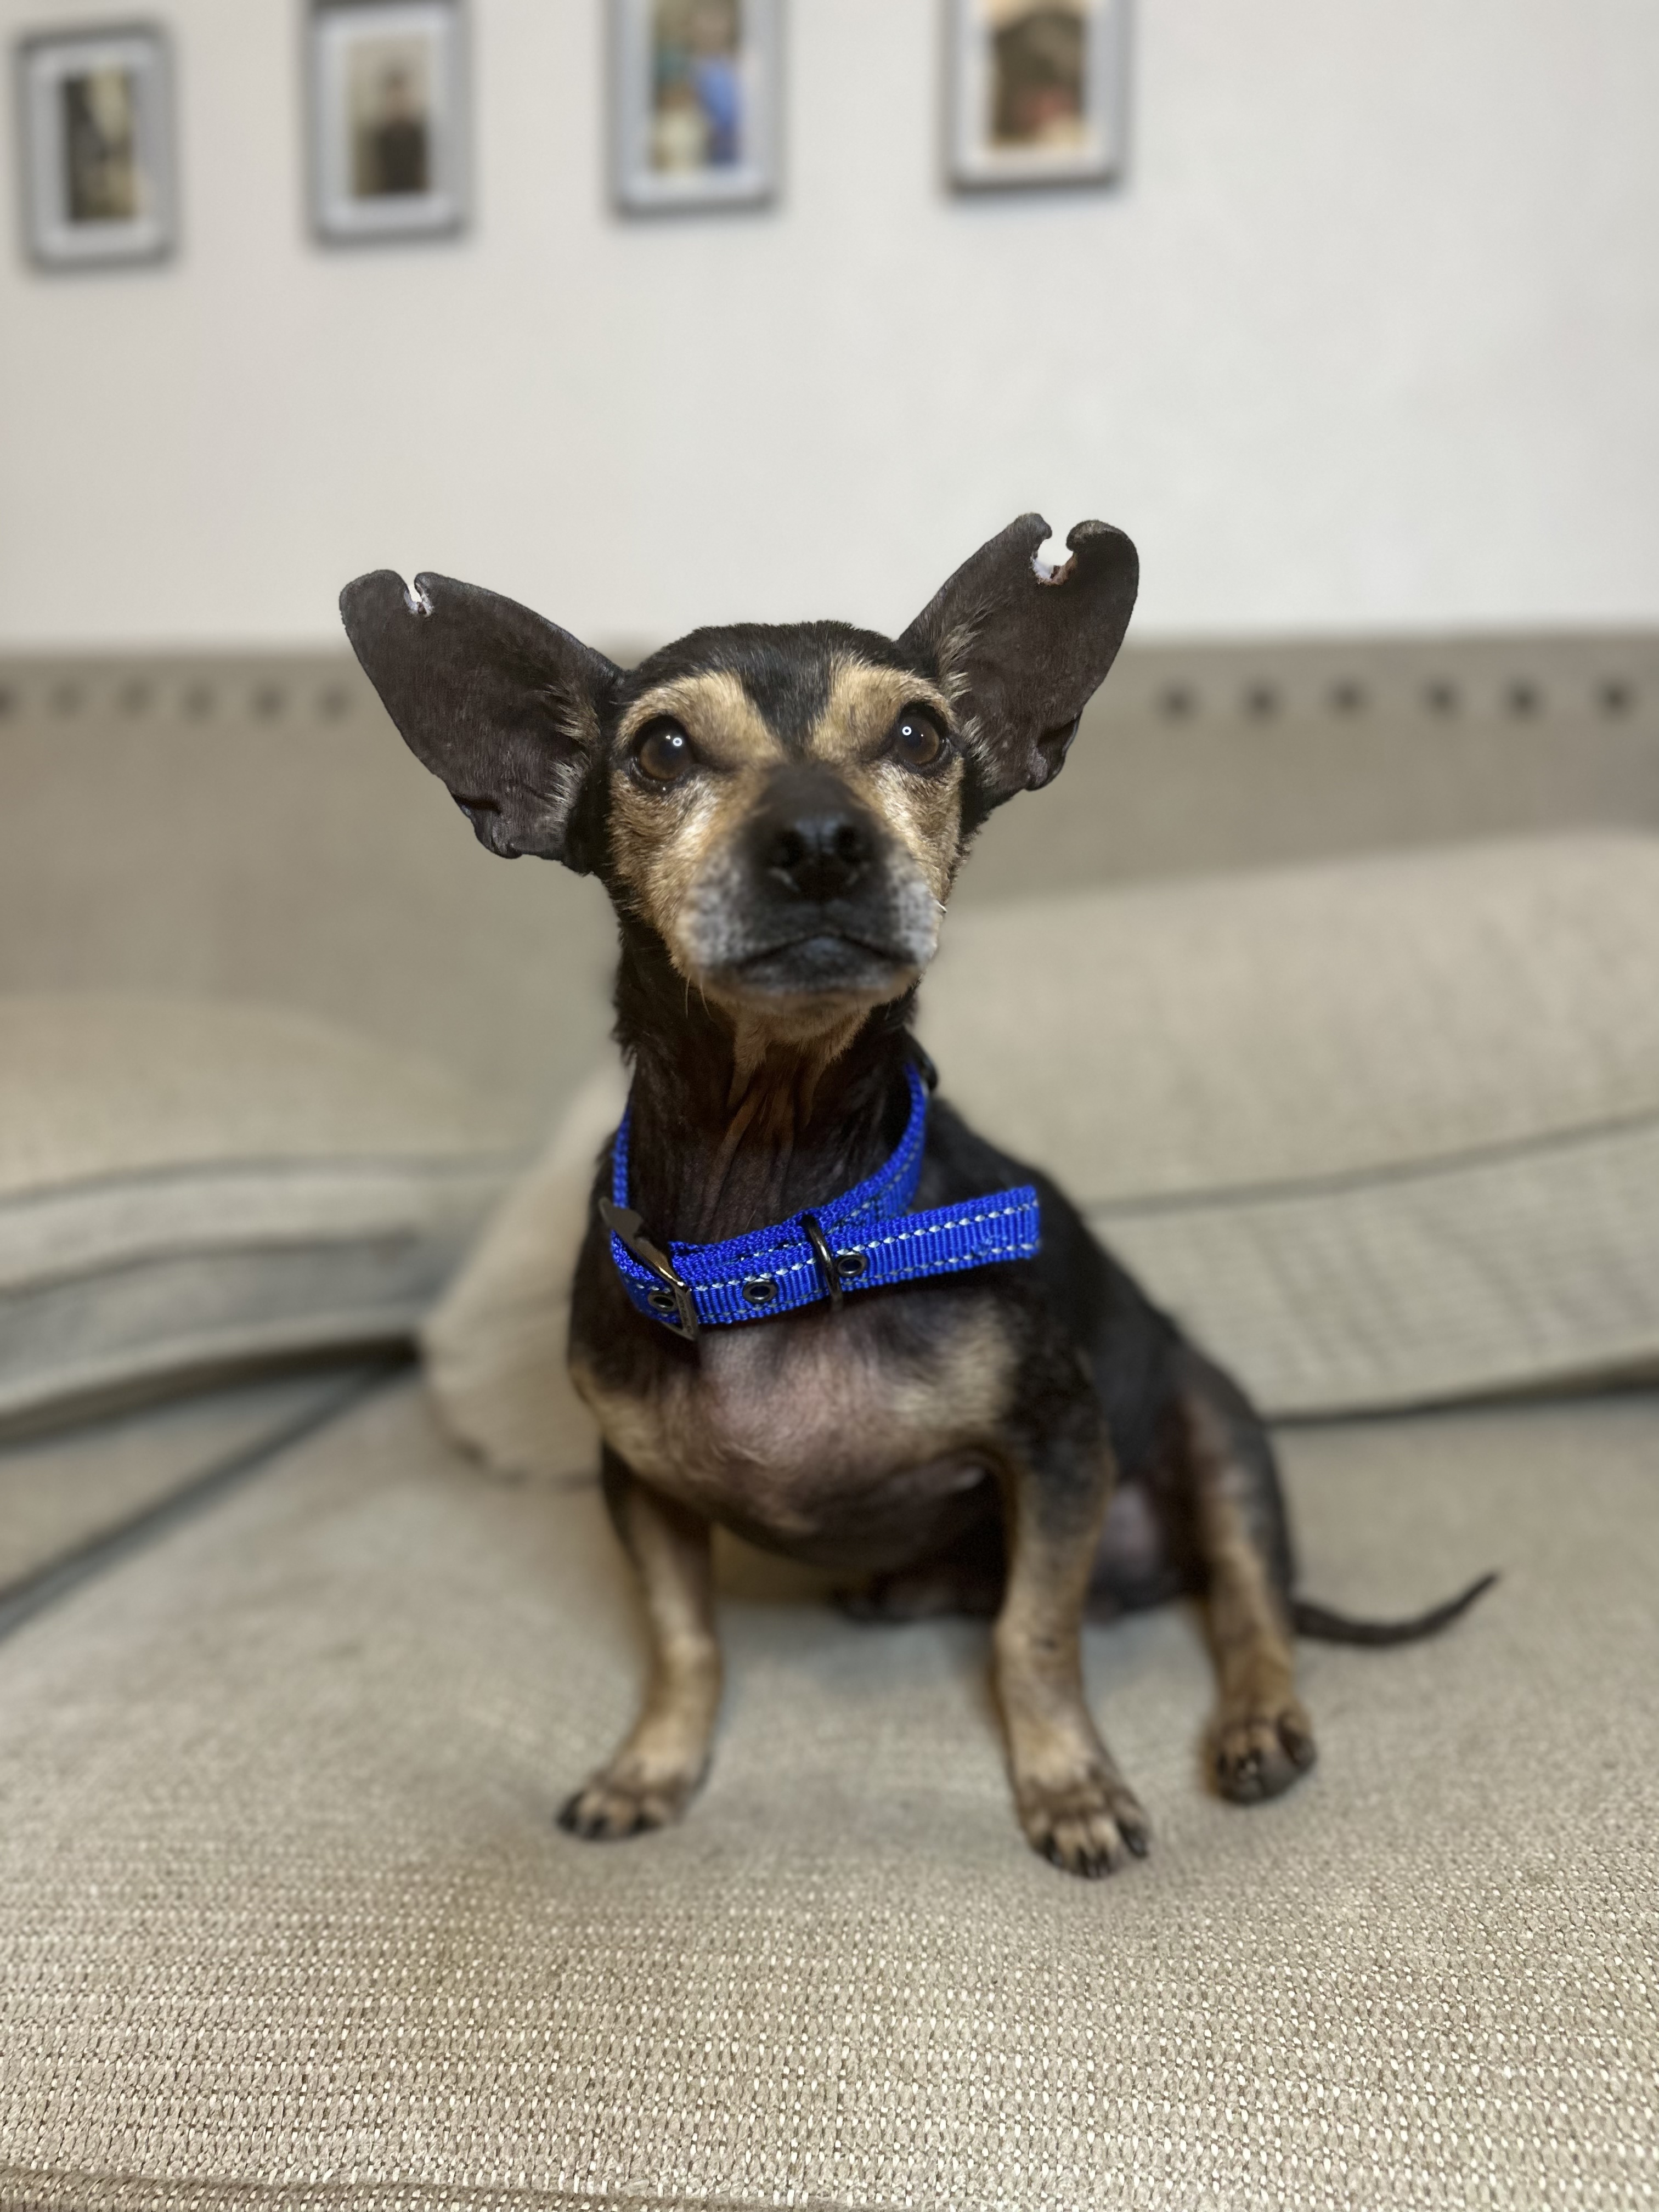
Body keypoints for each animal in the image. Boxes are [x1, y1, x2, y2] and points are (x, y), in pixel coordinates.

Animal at [340, 517, 1495, 1884]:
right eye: (661, 750)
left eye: (919, 736)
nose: (822, 841)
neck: (780, 1205)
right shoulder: (642, 1491)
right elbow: (686, 1644)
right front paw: (652, 1767)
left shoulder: (1058, 1448)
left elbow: (1033, 1641)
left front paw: (1070, 1786)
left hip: (1216, 1430)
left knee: (1248, 1600)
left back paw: (1259, 1721)